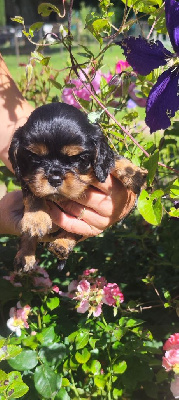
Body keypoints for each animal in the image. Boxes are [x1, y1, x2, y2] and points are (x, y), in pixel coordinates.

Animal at [8, 103, 147, 272]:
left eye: (77, 159)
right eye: (34, 157)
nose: (55, 179)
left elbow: (114, 158)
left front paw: (134, 173)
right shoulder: (27, 178)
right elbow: (33, 195)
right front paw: (36, 219)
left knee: (74, 232)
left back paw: (61, 244)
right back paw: (25, 255)